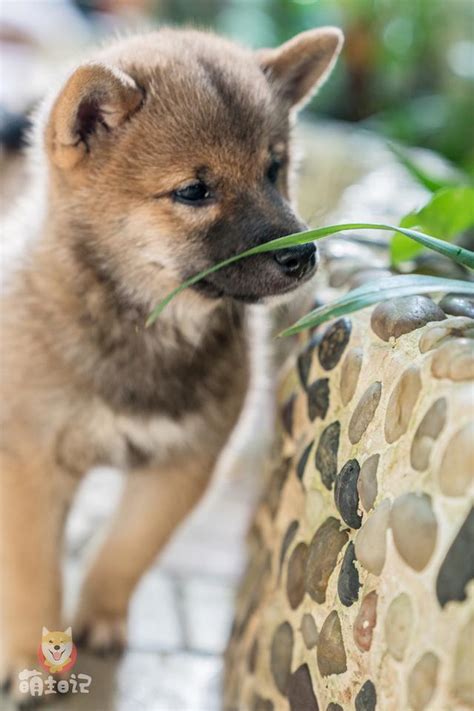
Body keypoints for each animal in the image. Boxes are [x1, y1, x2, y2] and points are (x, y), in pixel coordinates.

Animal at [0, 25, 342, 688]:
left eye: (274, 168)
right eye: (193, 191)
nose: (303, 255)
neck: (144, 330)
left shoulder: (184, 463)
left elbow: (126, 552)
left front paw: (99, 616)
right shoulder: (31, 462)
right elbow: (32, 569)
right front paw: (30, 654)